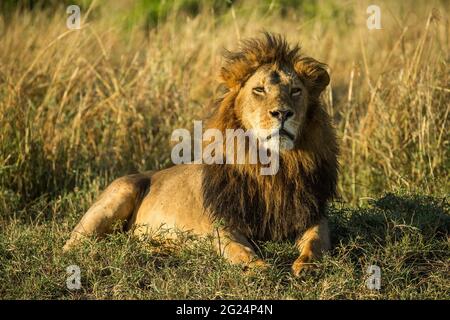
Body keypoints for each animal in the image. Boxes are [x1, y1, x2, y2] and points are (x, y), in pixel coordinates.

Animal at [63, 33, 338, 276]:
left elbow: (315, 242)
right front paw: (258, 268)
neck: (273, 167)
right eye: (259, 90)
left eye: (295, 91)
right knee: (73, 246)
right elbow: (238, 249)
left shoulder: (313, 214)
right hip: (117, 195)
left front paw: (306, 266)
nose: (282, 113)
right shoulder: (222, 222)